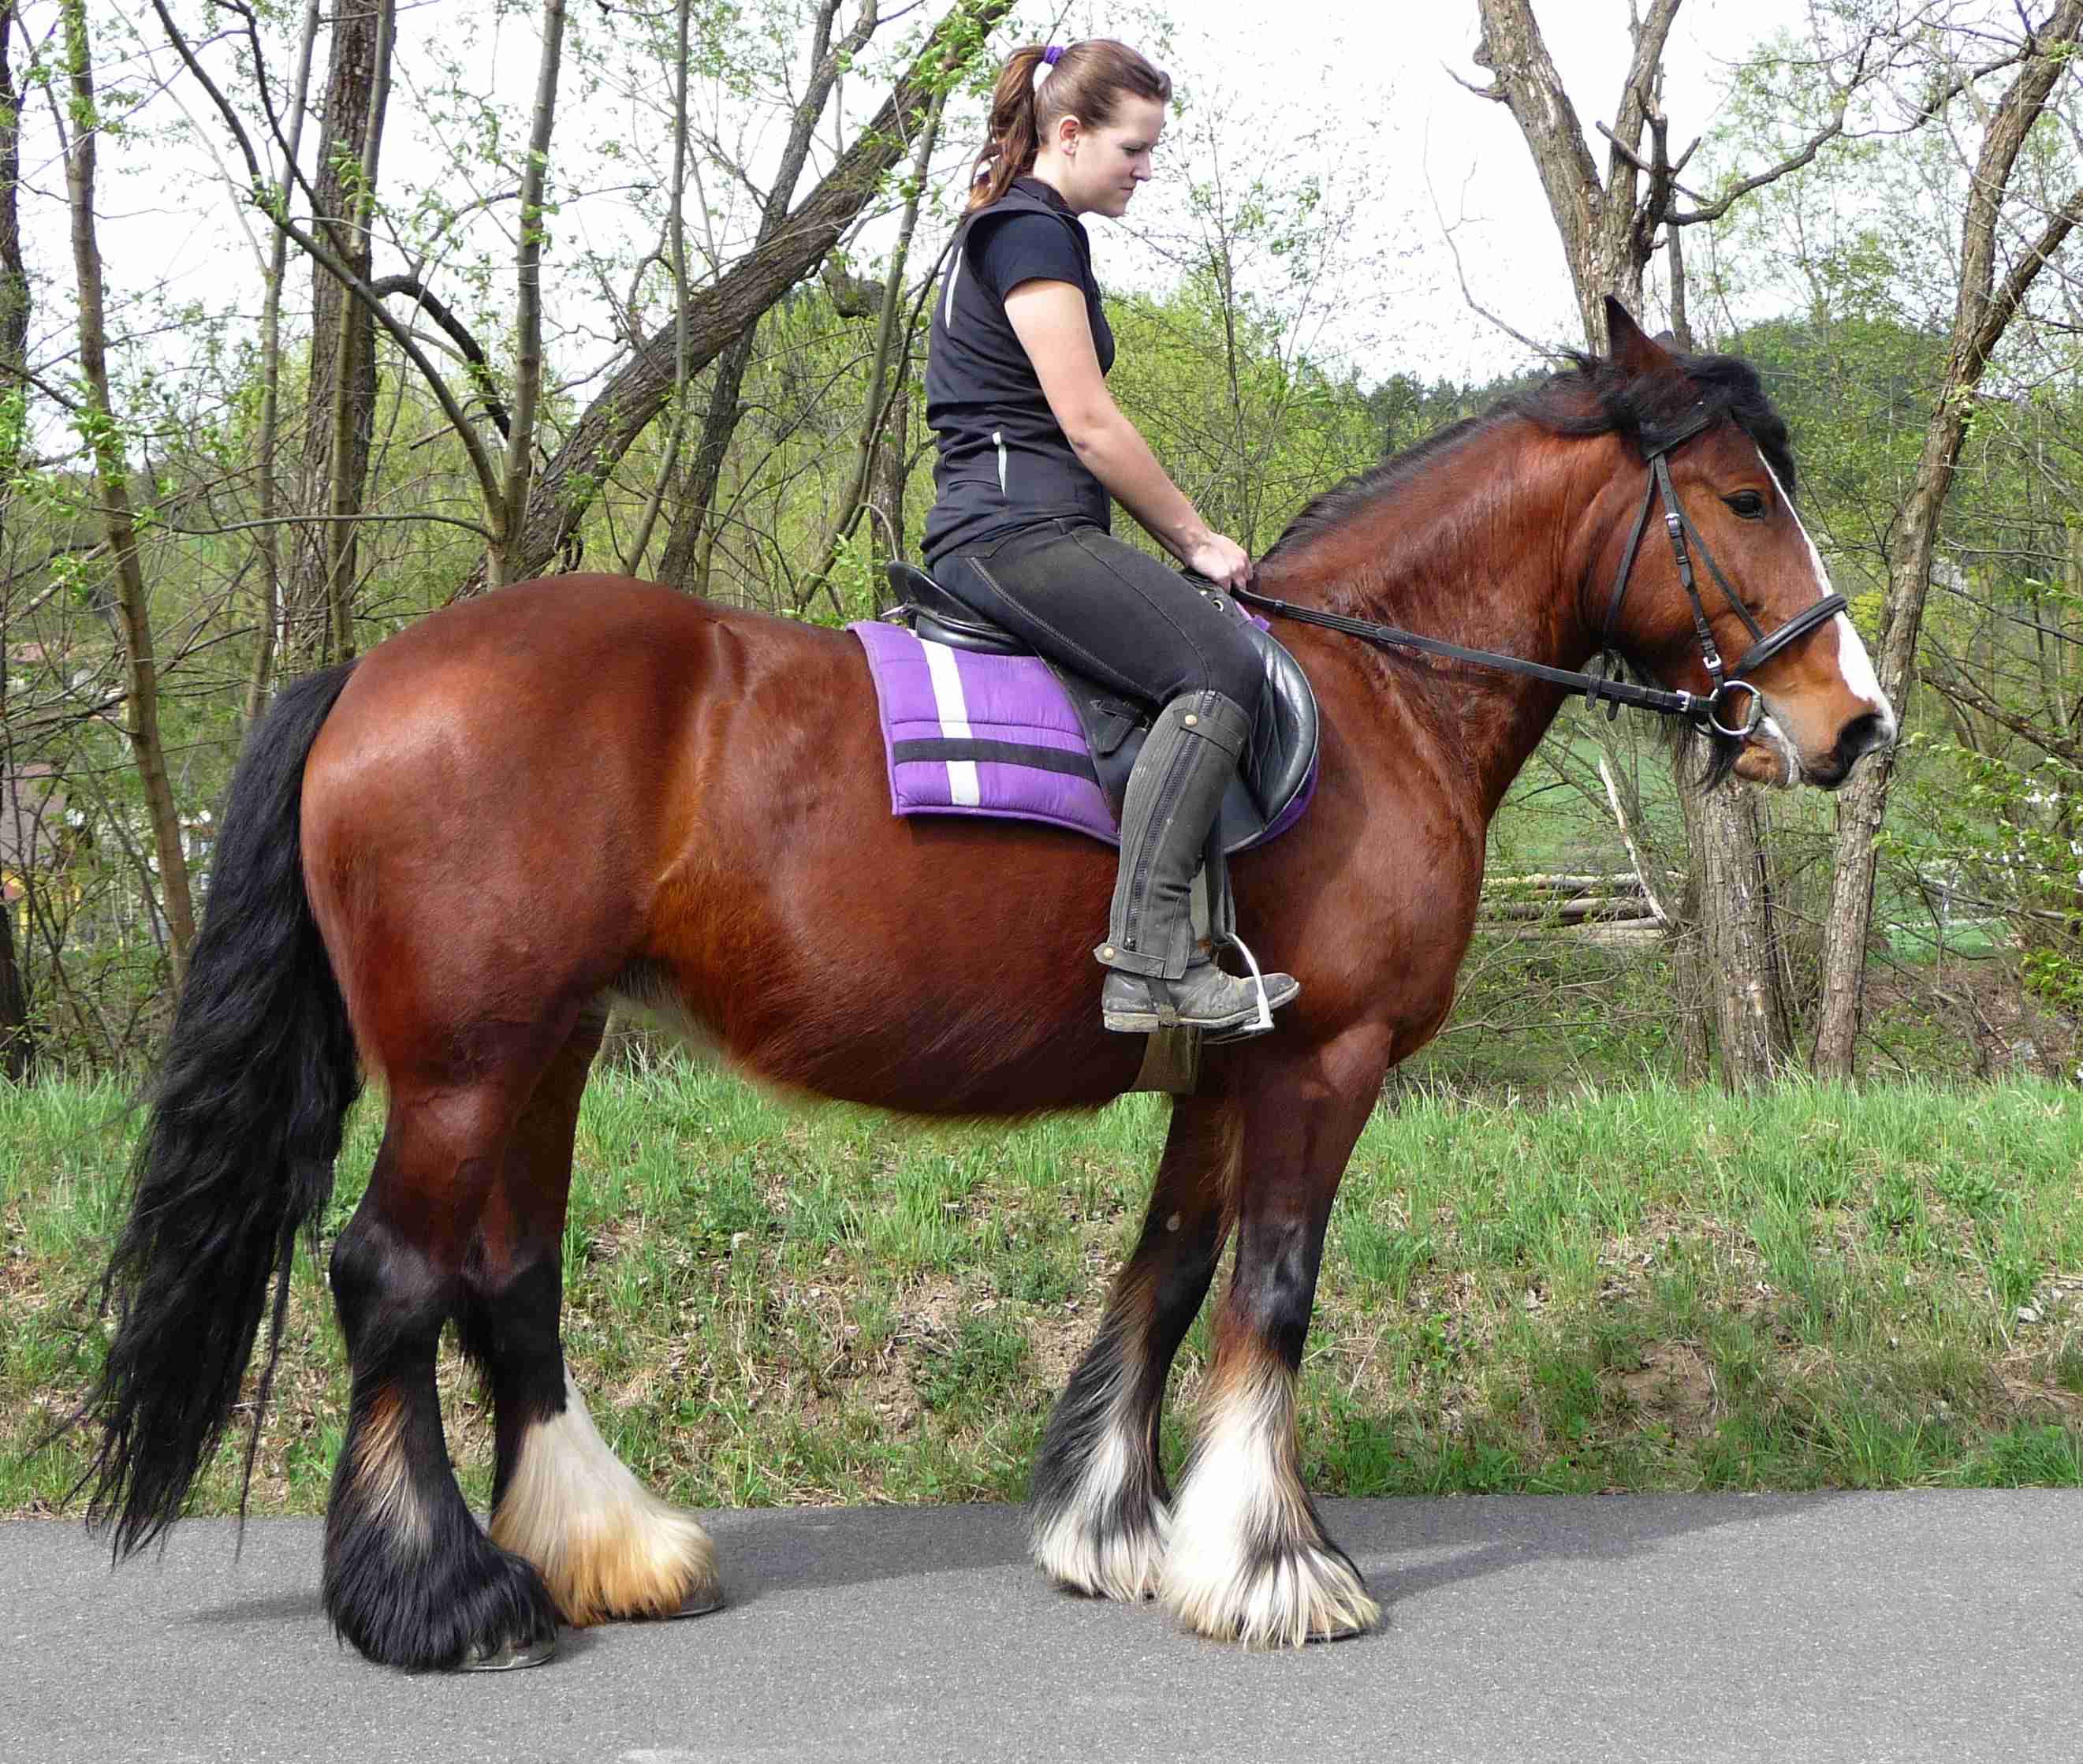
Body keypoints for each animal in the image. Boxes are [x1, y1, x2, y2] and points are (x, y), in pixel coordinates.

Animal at [75, 301, 1894, 1667]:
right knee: (389, 1273)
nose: (1853, 720)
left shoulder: (1224, 1064)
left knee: (508, 1273)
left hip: (547, 1047)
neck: (1371, 690)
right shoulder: (1324, 1059)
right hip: (465, 1056)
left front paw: (1117, 1529)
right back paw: (444, 1597)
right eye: (1739, 501)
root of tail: (378, 670)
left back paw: (606, 1545)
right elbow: (1273, 1291)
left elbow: (1166, 1273)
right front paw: (1273, 1564)